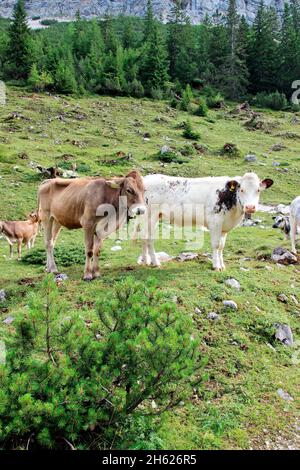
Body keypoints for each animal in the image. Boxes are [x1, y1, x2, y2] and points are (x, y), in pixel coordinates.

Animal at [137, 173, 274, 270]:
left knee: (144, 237)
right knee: (149, 238)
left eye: (258, 190)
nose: (250, 207)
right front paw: (216, 266)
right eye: (241, 190)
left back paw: (146, 261)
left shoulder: (224, 228)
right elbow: (216, 245)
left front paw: (222, 265)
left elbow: (222, 246)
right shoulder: (215, 222)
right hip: (150, 215)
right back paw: (155, 262)